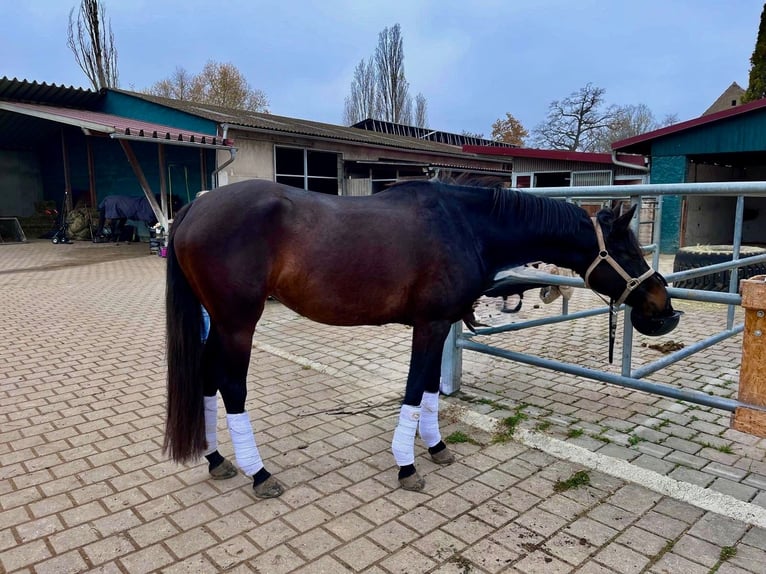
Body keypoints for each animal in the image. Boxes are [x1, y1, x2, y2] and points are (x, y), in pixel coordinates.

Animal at [163, 177, 681, 496]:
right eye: (626, 251)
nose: (665, 310)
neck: (465, 226)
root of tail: (195, 207)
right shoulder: (429, 326)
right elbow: (414, 390)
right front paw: (407, 465)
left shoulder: (441, 324)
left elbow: (430, 389)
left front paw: (435, 448)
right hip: (237, 325)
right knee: (231, 387)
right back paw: (259, 473)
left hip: (221, 325)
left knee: (206, 381)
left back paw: (216, 460)